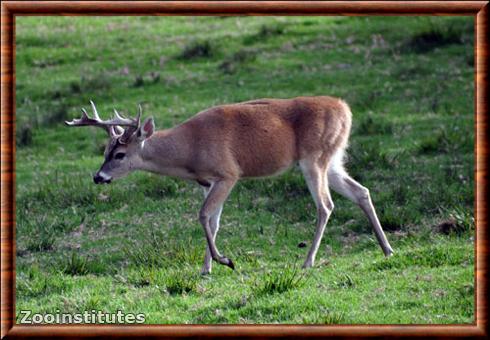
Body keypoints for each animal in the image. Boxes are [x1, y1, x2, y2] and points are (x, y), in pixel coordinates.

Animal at [65, 97, 394, 274]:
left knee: (325, 205)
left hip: (313, 157)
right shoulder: (207, 181)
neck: (189, 151)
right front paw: (206, 268)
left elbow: (202, 215)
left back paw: (308, 261)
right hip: (333, 158)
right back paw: (387, 248)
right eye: (105, 151)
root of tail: (345, 109)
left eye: (119, 154)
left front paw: (224, 260)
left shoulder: (228, 173)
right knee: (361, 191)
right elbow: (213, 221)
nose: (98, 177)